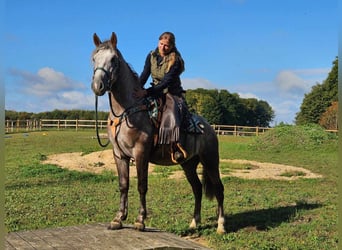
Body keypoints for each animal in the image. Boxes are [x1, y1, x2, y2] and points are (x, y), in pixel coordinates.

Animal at [90, 32, 227, 233]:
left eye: (113, 59)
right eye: (94, 58)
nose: (98, 85)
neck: (127, 111)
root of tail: (208, 127)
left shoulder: (141, 153)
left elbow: (141, 185)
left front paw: (140, 220)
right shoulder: (119, 155)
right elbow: (123, 185)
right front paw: (118, 219)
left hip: (210, 160)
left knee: (218, 188)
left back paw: (221, 225)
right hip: (188, 163)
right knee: (197, 188)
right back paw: (194, 222)